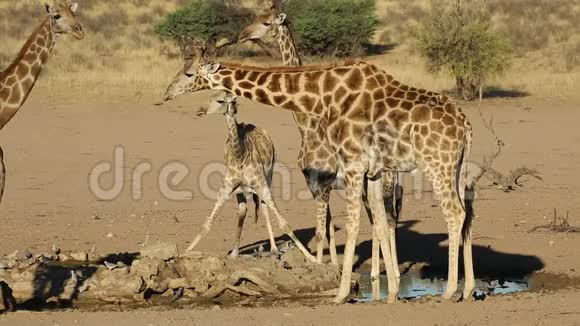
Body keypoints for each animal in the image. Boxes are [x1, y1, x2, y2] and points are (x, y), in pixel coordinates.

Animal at [188, 91, 314, 262]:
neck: (240, 156)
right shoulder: (226, 188)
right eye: (210, 96)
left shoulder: (261, 185)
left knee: (264, 207)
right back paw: (235, 252)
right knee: (243, 210)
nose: (199, 111)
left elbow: (284, 224)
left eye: (220, 101)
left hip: (269, 177)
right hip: (240, 190)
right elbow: (206, 224)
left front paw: (312, 258)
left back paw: (274, 248)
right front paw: (185, 251)